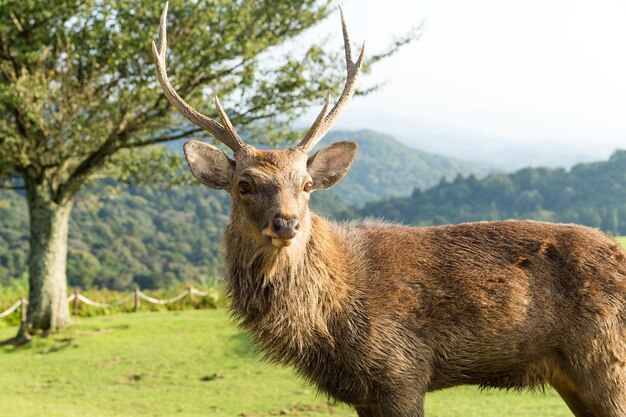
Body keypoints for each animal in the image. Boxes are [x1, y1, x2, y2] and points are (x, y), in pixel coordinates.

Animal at [151, 4, 624, 416]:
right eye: (244, 185)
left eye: (306, 185)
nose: (286, 223)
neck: (331, 324)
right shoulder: (364, 393)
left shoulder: (403, 369)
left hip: (607, 361)